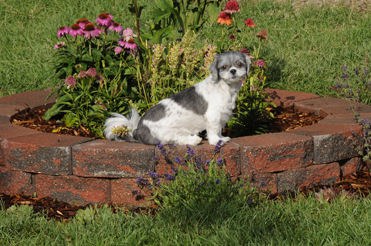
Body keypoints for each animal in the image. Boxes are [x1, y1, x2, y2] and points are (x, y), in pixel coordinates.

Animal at [103, 50, 251, 145]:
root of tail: (137, 130)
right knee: (173, 140)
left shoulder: (221, 114)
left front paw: (222, 138)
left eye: (239, 64)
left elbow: (219, 128)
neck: (225, 87)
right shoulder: (213, 115)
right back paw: (194, 141)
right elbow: (214, 129)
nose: (233, 71)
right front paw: (216, 141)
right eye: (224, 67)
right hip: (163, 133)